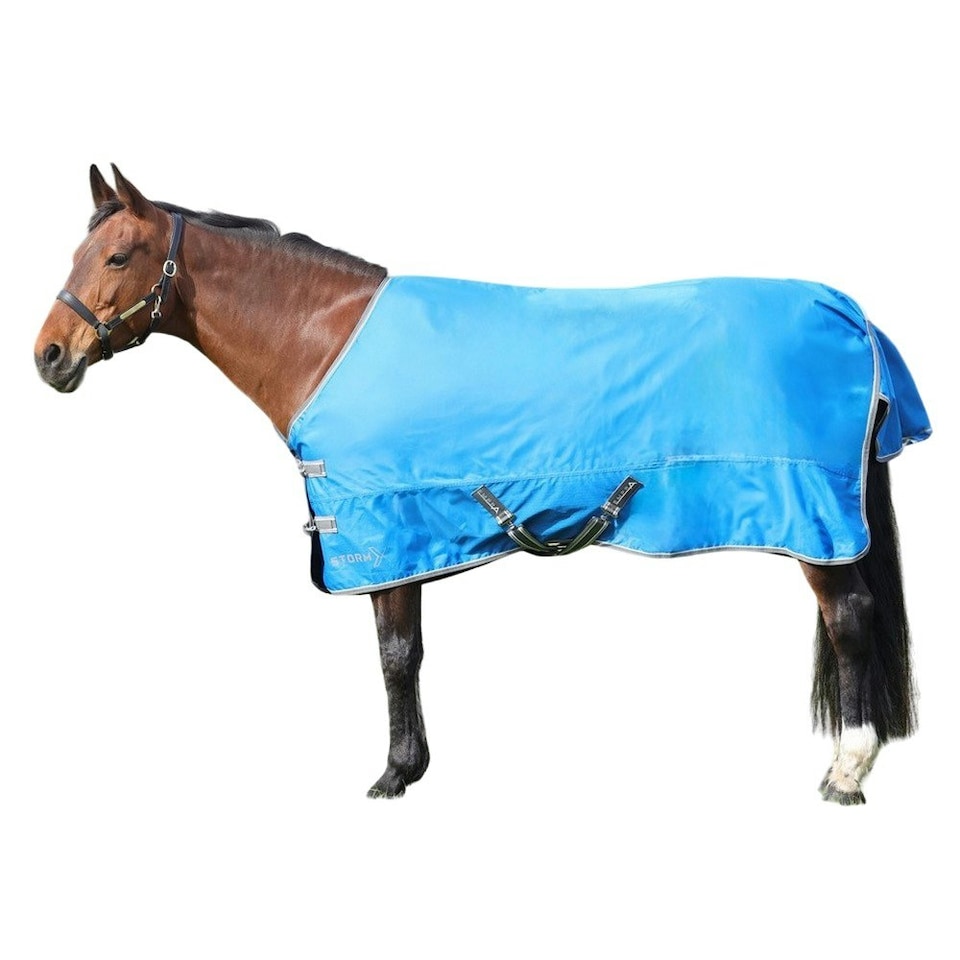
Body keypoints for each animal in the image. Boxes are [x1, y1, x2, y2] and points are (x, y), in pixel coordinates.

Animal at [34, 165, 931, 803]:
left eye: (118, 256)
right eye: (78, 254)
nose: (48, 356)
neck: (324, 338)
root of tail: (848, 311)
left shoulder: (387, 526)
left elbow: (396, 654)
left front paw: (395, 774)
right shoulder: (405, 530)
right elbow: (407, 651)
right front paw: (411, 764)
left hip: (816, 518)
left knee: (850, 620)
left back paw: (846, 772)